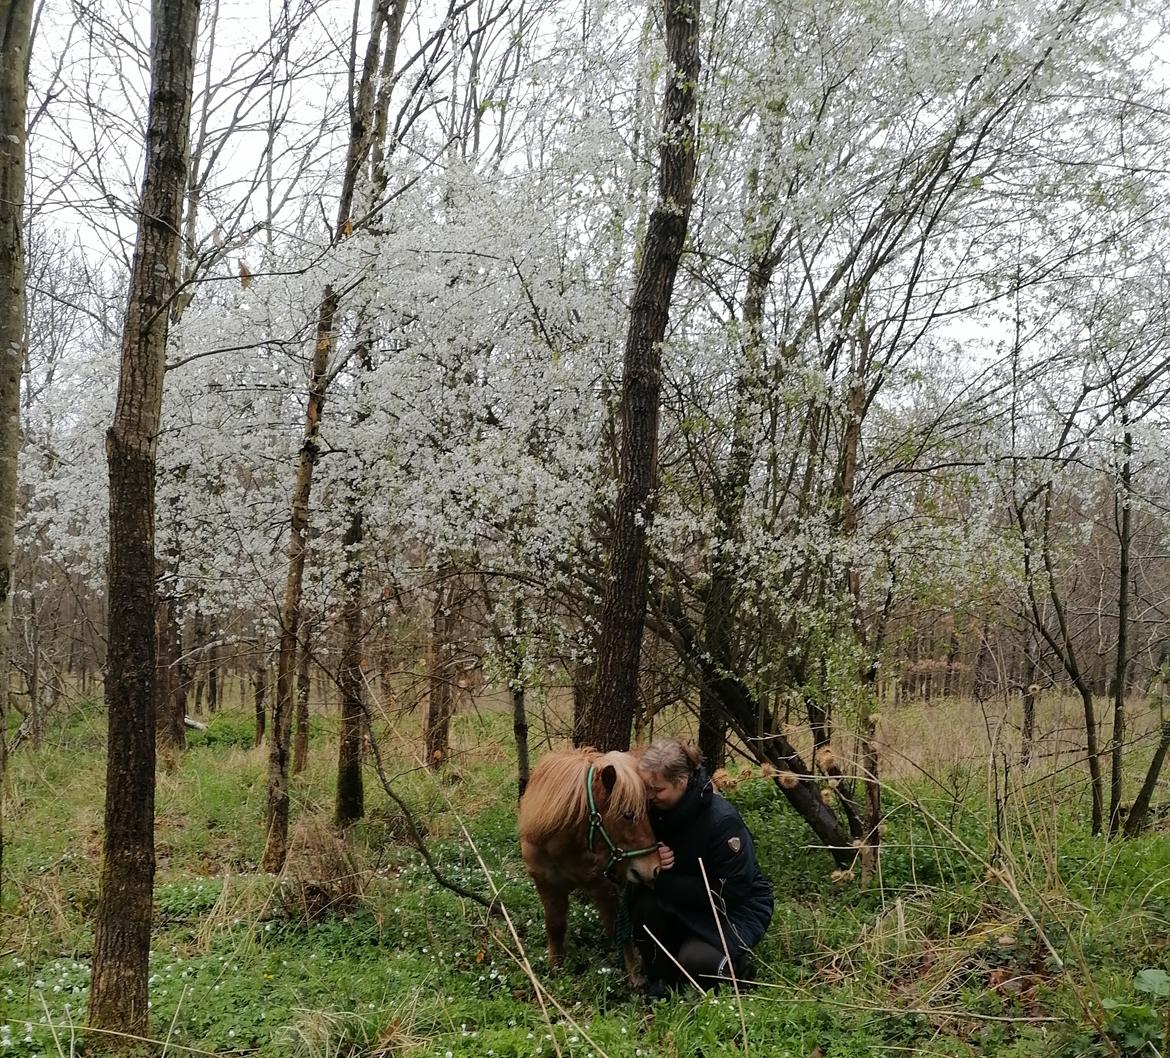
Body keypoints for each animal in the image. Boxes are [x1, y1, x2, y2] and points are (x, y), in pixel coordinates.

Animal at [519, 749, 664, 978]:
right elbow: (555, 925)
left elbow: (618, 930)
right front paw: (555, 969)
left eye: (650, 812)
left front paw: (635, 977)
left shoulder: (603, 887)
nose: (653, 869)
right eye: (628, 814)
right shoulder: (546, 883)